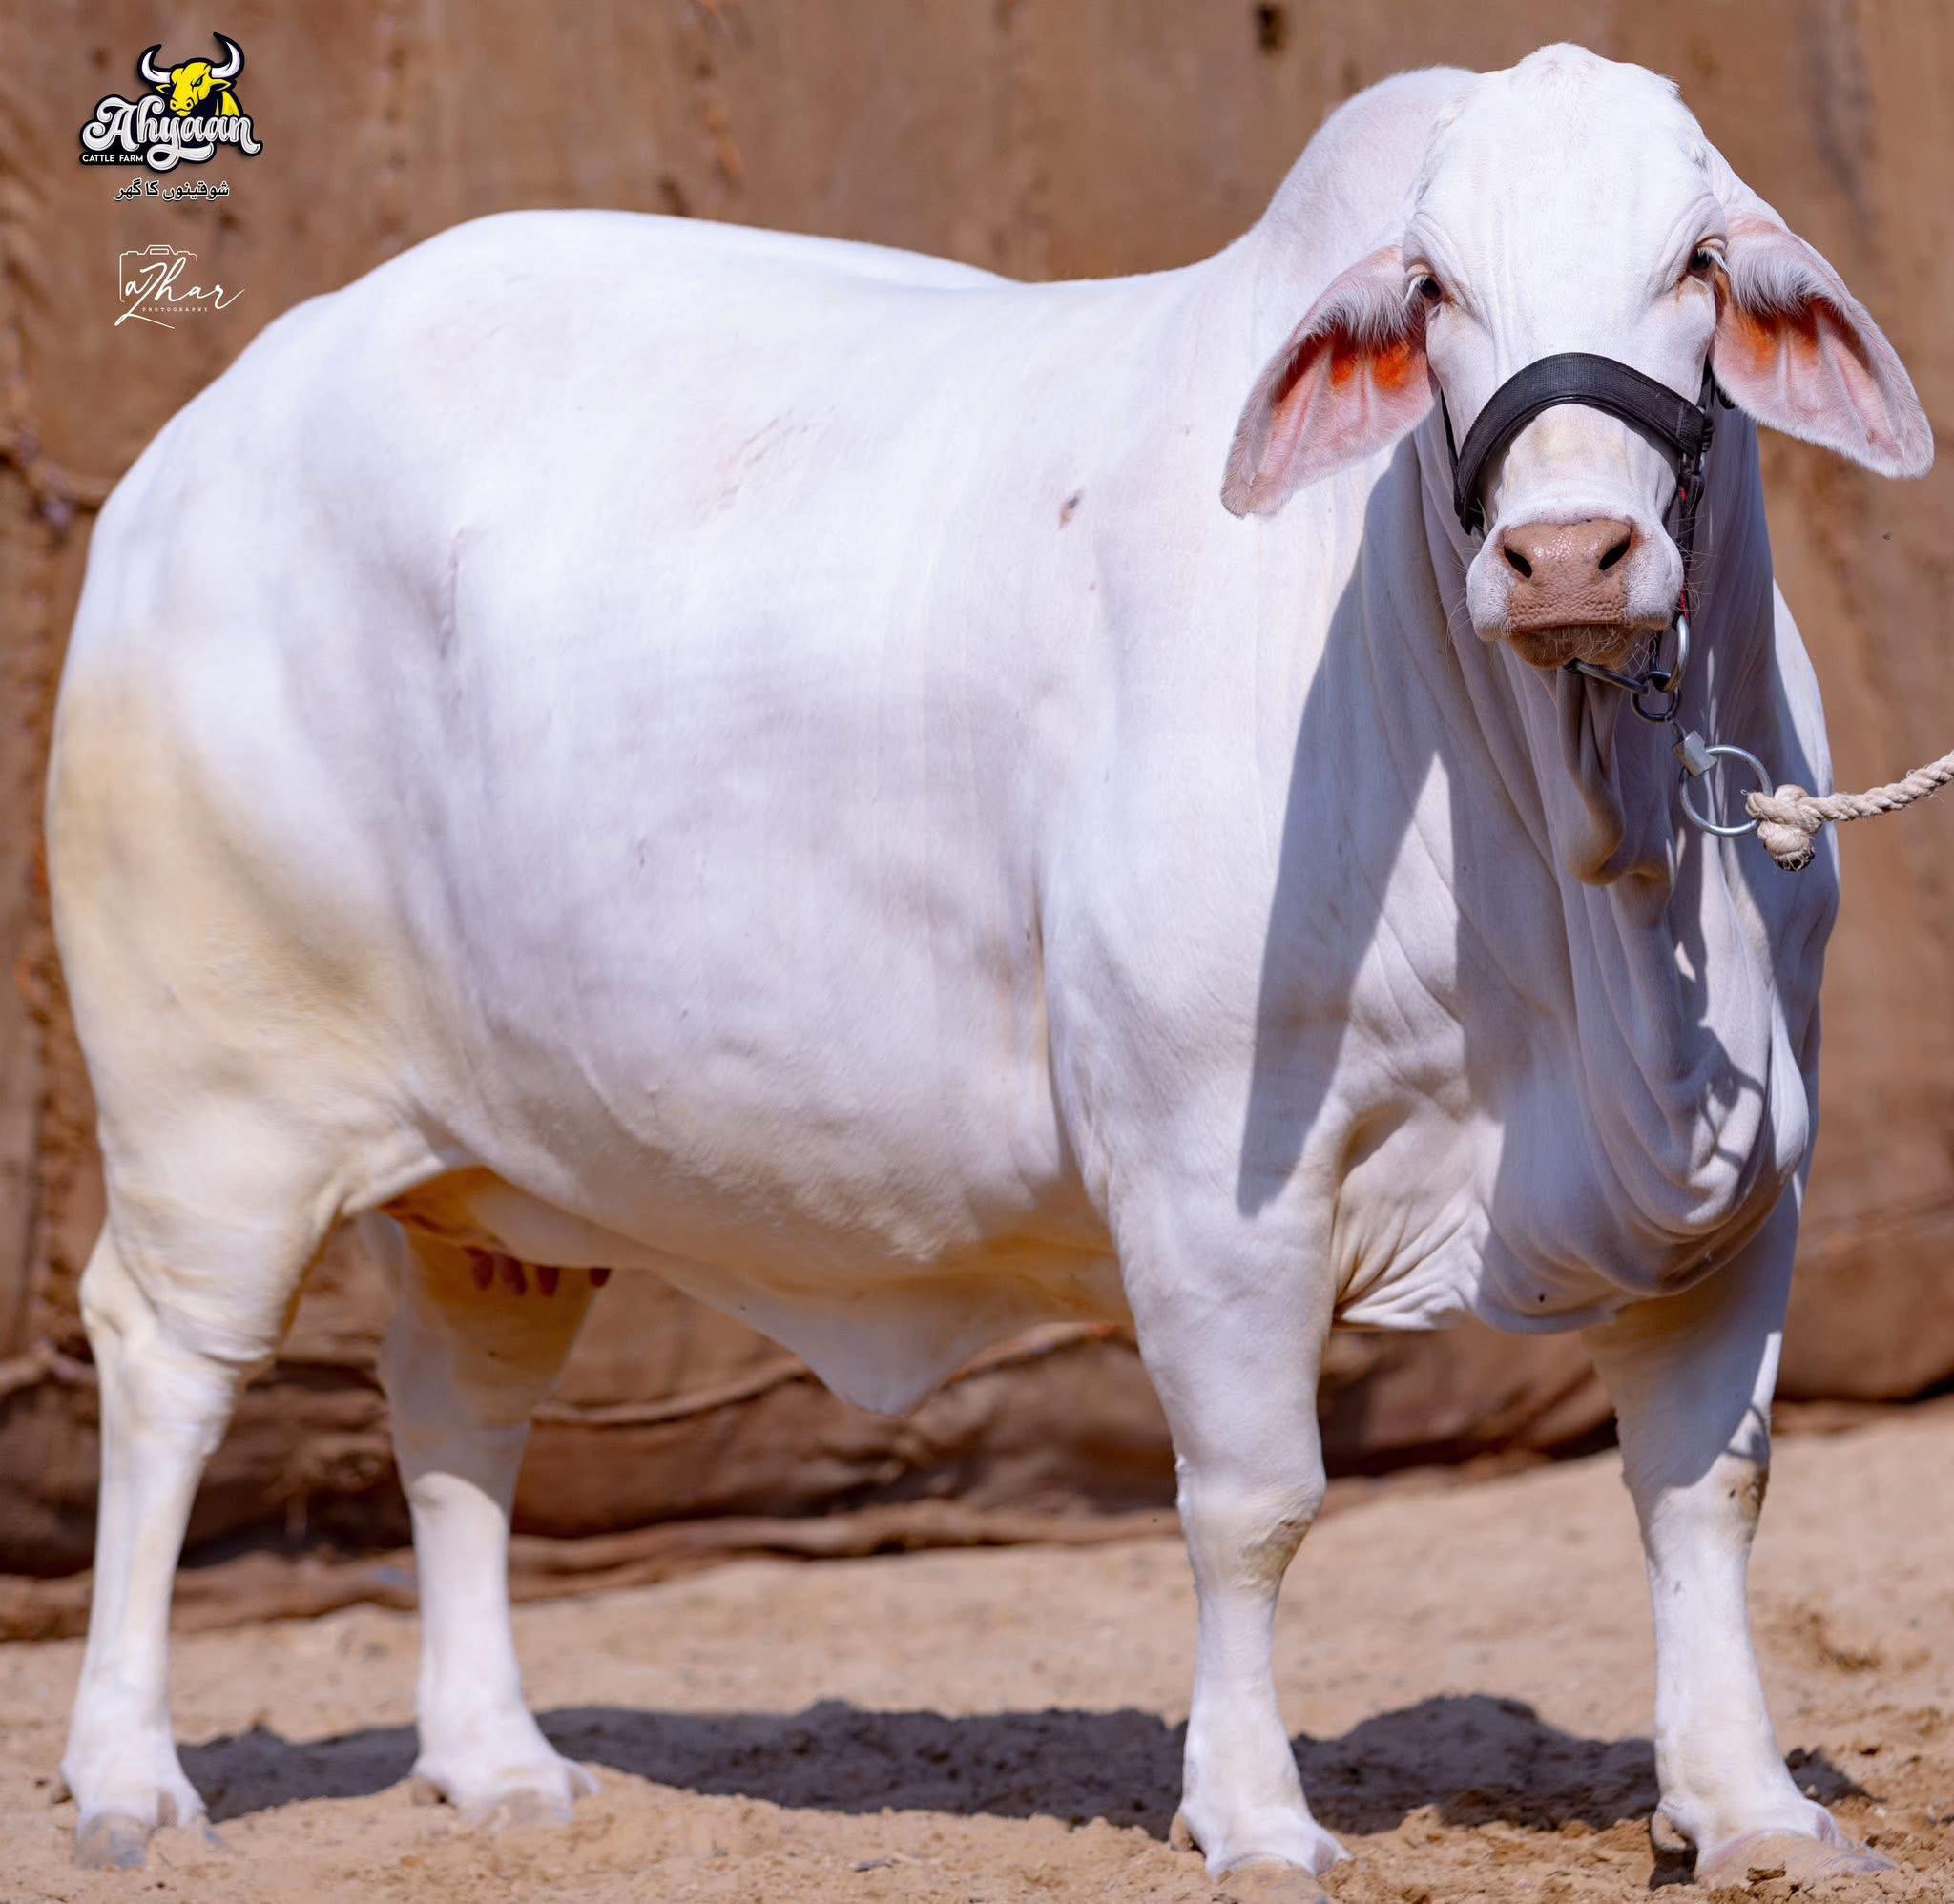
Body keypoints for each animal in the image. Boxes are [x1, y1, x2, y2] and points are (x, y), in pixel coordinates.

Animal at [48, 43, 1930, 1889]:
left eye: (1697, 265)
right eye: (1432, 285)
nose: (1563, 556)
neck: (1595, 873)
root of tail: (191, 449)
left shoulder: (1746, 1194)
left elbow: (1704, 1492)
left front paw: (1747, 1806)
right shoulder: (1209, 1186)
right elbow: (1254, 1505)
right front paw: (1252, 1814)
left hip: (501, 1176)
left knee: (458, 1415)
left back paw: (496, 1762)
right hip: (211, 1107)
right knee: (165, 1376)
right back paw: (128, 1776)